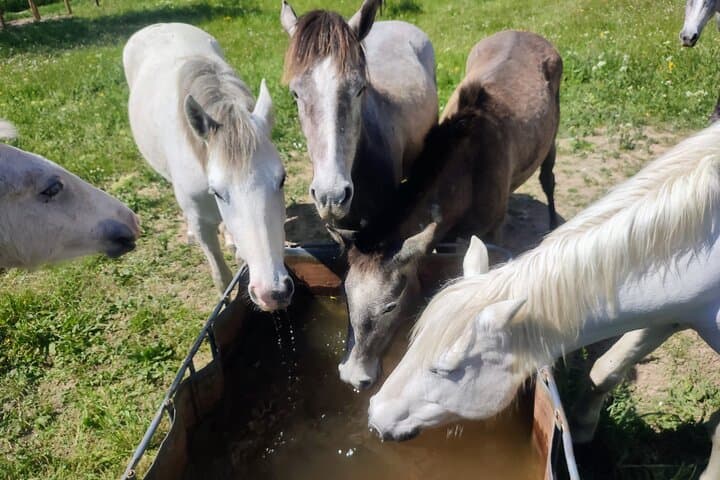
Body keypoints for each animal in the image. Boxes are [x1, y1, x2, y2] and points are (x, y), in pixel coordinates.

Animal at [123, 23, 293, 311]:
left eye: (281, 179)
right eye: (217, 192)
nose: (273, 293)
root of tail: (161, 25)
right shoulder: (203, 223)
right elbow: (221, 278)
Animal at [333, 31, 561, 390]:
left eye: (391, 306)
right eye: (345, 294)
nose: (354, 376)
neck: (463, 184)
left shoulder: (492, 228)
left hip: (553, 135)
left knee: (548, 179)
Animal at [367, 123, 720, 479]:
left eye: (444, 369)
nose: (375, 415)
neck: (702, 255)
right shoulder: (670, 314)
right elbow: (606, 368)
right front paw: (581, 430)